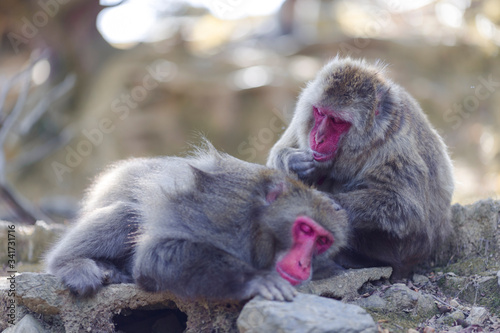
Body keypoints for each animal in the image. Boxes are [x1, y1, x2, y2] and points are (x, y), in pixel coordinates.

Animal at [46, 143, 348, 300]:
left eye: (322, 241)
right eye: (305, 229)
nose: (303, 264)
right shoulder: (225, 210)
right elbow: (156, 253)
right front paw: (254, 280)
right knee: (127, 214)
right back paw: (70, 263)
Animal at [268, 56, 456, 278]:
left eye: (337, 121)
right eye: (320, 112)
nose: (318, 138)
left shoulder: (398, 147)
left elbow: (408, 209)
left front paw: (329, 202)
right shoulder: (302, 118)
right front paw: (292, 161)